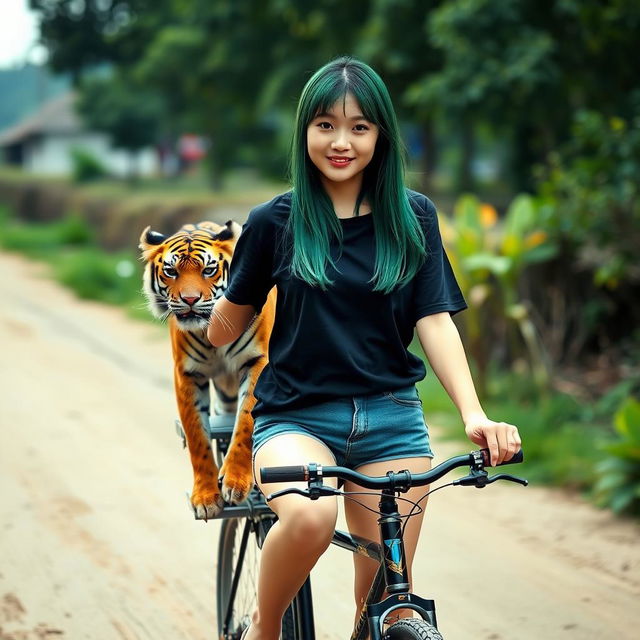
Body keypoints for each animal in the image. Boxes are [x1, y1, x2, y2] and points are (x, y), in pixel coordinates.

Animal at [139, 220, 274, 520]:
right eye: (171, 271)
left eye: (208, 270)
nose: (190, 300)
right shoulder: (187, 375)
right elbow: (197, 437)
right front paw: (205, 497)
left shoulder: (258, 363)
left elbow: (245, 423)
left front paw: (235, 481)